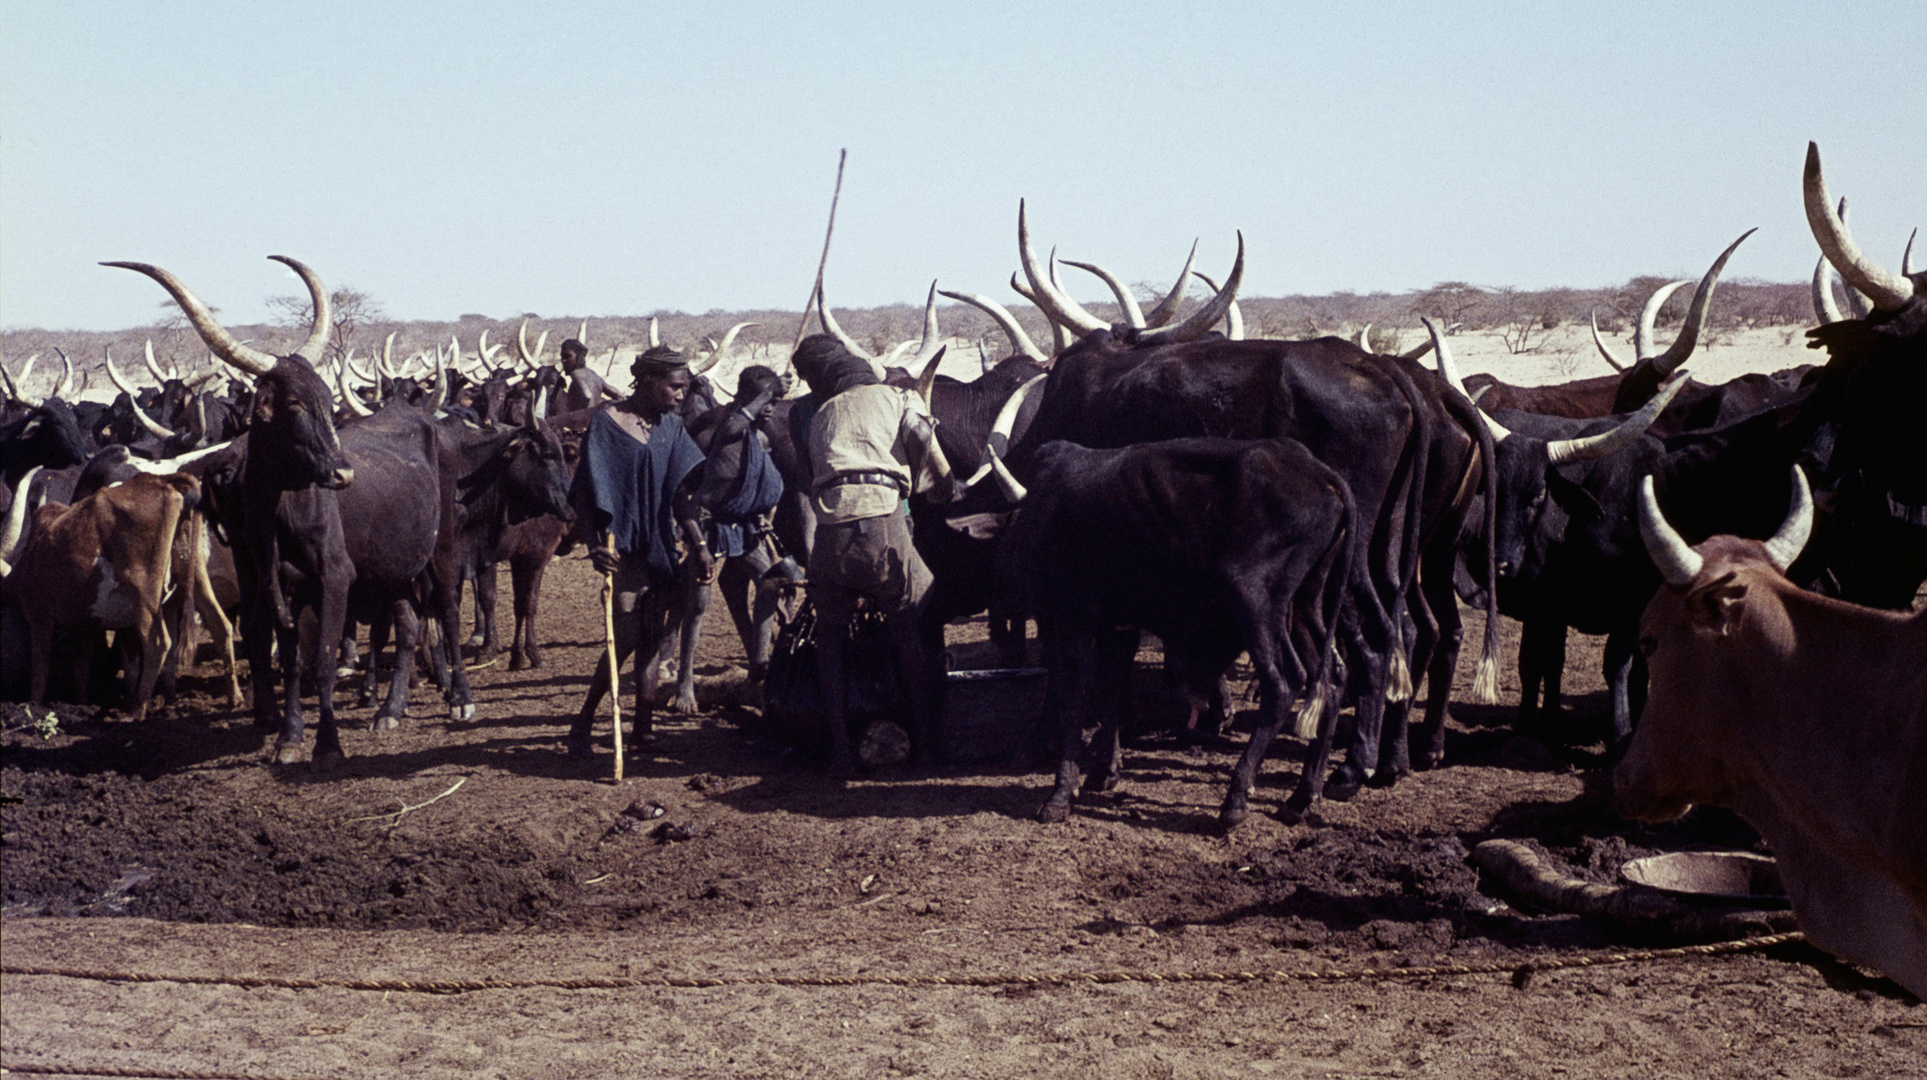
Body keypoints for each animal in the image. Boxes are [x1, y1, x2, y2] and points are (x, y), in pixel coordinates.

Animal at [1, 472, 204, 717]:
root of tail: (163, 482)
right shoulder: (88, 624)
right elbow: (82, 666)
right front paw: (82, 703)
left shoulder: (40, 618)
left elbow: (40, 670)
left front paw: (33, 708)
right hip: (174, 600)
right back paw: (167, 703)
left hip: (146, 600)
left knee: (157, 644)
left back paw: (137, 711)